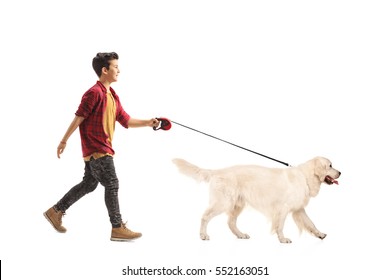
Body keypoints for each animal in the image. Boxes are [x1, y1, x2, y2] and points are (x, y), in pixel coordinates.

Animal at [172, 158, 340, 243]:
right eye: (330, 165)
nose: (340, 172)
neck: (305, 176)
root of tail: (217, 171)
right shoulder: (283, 208)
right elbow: (280, 226)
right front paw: (282, 239)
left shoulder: (298, 209)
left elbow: (311, 223)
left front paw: (320, 234)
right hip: (223, 202)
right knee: (205, 216)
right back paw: (203, 235)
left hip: (237, 205)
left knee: (230, 222)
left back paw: (240, 235)